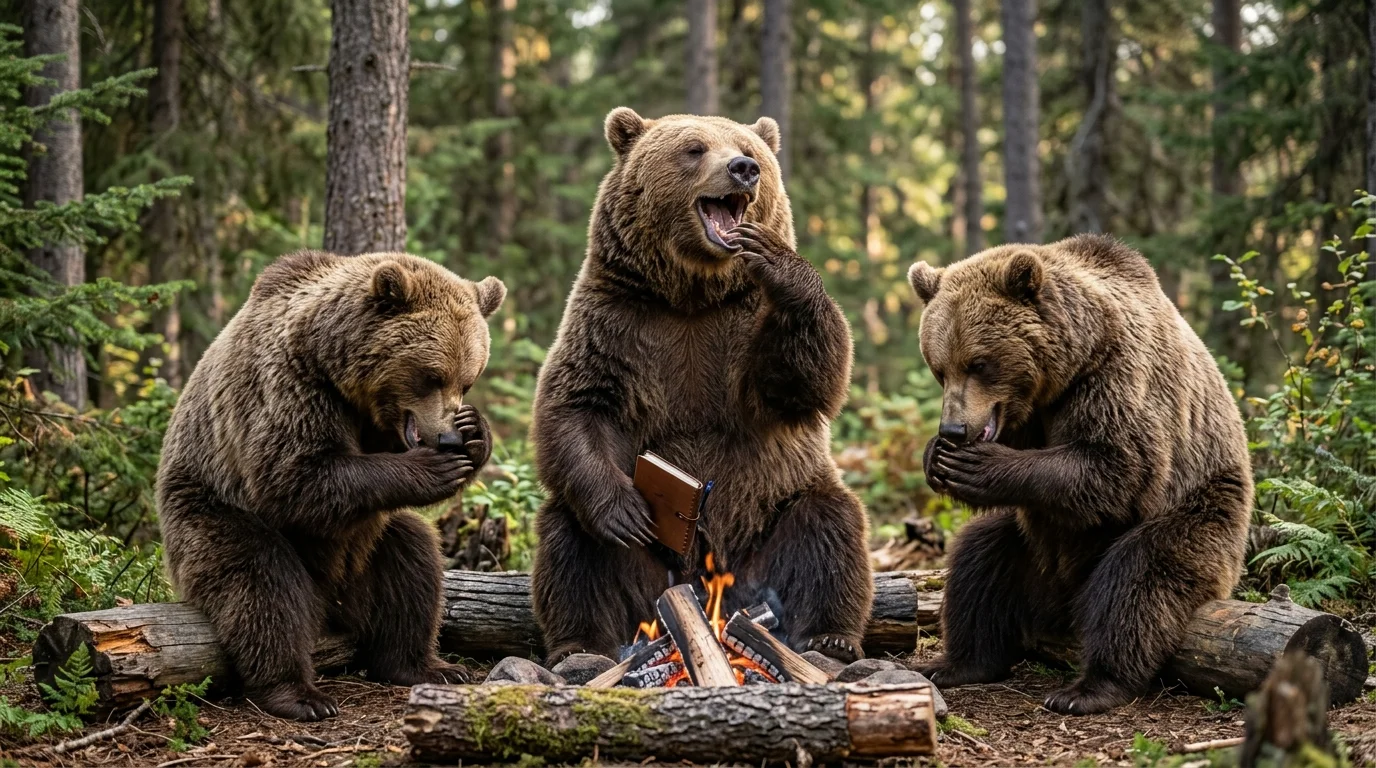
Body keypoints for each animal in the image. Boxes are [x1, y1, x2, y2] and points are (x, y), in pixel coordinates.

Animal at [157, 250, 506, 720]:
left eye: (467, 380)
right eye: (430, 375)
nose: (447, 438)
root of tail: (332, 599)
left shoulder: (371, 420)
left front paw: (476, 432)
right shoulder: (288, 385)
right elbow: (296, 475)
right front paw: (434, 468)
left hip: (368, 547)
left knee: (412, 559)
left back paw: (425, 665)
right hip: (205, 516)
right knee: (261, 581)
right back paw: (299, 694)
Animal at [529, 107, 873, 664]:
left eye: (749, 149)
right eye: (694, 149)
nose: (743, 169)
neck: (692, 293)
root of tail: (708, 589)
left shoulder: (741, 324)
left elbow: (804, 381)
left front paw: (776, 259)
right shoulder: (616, 318)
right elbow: (578, 403)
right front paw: (626, 513)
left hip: (769, 524)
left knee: (828, 525)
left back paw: (831, 635)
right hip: (644, 576)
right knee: (570, 542)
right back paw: (578, 645)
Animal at [907, 235, 1253, 715]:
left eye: (980, 364)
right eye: (940, 368)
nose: (953, 430)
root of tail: (1059, 600)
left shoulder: (1117, 377)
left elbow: (1117, 467)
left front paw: (976, 464)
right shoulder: (1033, 414)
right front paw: (934, 457)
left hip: (1204, 515)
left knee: (1138, 580)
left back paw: (1088, 688)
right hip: (1029, 544)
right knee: (978, 561)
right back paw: (957, 663)